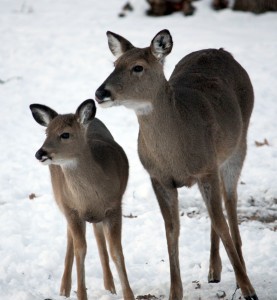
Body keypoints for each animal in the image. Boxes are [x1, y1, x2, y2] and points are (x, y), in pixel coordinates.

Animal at [30, 99, 134, 298]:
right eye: (46, 132)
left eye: (65, 134)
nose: (40, 153)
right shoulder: (72, 209)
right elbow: (81, 250)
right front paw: (81, 293)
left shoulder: (115, 206)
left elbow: (116, 251)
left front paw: (128, 295)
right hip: (63, 203)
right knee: (71, 238)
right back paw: (64, 289)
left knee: (97, 234)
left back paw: (109, 286)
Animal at [94, 30, 256, 300]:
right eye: (115, 64)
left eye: (138, 67)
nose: (100, 93)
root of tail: (221, 51)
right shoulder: (158, 177)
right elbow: (172, 229)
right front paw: (175, 292)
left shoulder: (207, 168)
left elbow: (220, 221)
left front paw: (248, 289)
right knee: (218, 209)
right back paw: (214, 271)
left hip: (237, 144)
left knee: (229, 203)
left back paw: (239, 268)